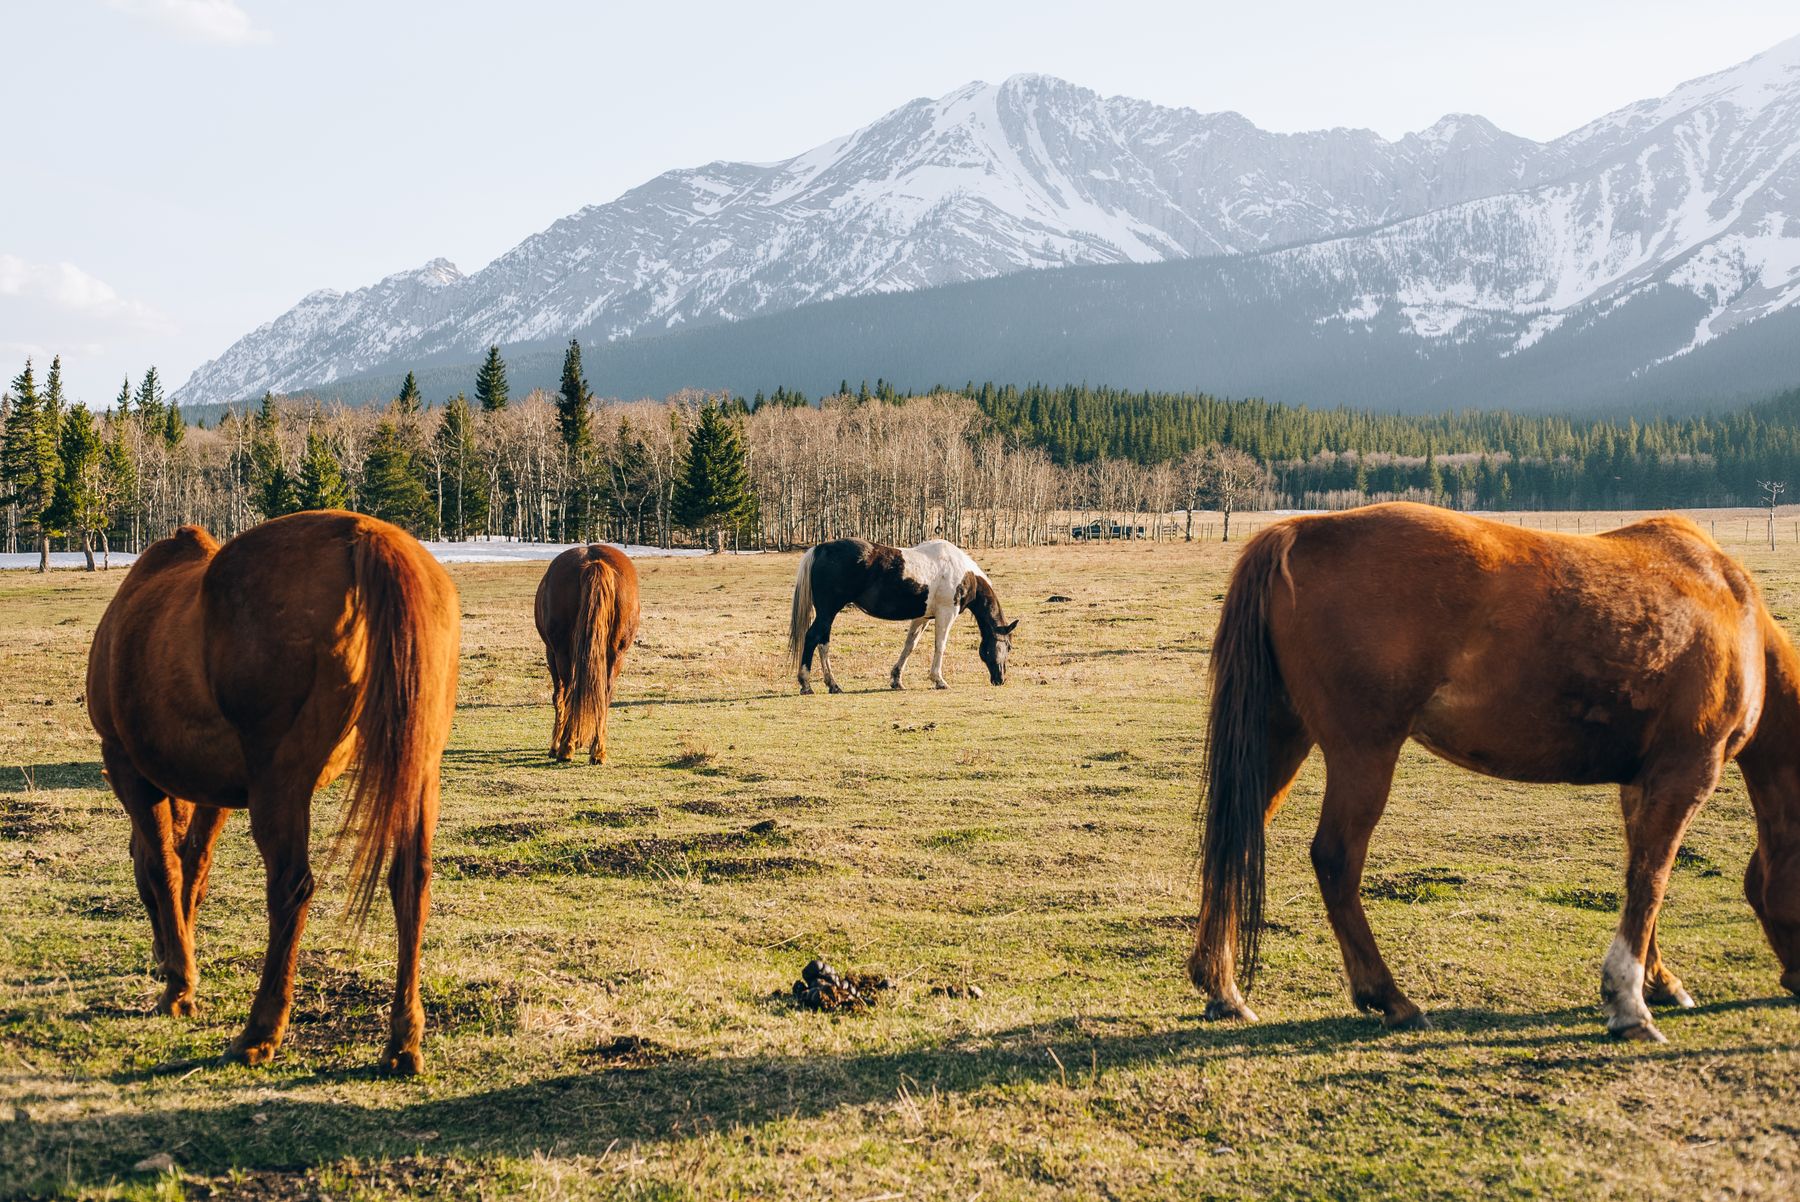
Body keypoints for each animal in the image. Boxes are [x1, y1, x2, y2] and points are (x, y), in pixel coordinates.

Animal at [85, 510, 460, 1074]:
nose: (158, 958)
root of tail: (366, 537)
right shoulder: (213, 791)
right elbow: (195, 868)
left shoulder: (129, 768)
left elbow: (164, 869)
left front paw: (178, 987)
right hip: (419, 770)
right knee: (410, 884)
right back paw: (402, 1042)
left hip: (280, 784)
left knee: (291, 888)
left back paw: (259, 1032)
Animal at [534, 543, 640, 764]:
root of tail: (593, 561)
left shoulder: (552, 653)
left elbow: (558, 697)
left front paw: (556, 745)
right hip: (616, 655)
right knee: (604, 694)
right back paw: (597, 750)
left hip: (562, 653)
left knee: (568, 693)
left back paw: (565, 748)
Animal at [788, 538, 1018, 693]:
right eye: (1008, 646)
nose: (1001, 679)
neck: (964, 574)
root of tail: (820, 548)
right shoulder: (946, 614)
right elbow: (940, 646)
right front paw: (938, 680)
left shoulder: (922, 617)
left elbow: (909, 646)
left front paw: (896, 680)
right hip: (828, 611)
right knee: (814, 638)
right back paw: (809, 684)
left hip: (827, 614)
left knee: (822, 642)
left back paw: (831, 684)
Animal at [1189, 501, 1800, 1043]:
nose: (1793, 983)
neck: (1733, 608)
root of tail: (1298, 532)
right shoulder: (1686, 772)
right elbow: (1652, 879)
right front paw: (1629, 1003)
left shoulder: (1641, 783)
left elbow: (1640, 873)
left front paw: (1659, 981)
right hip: (1363, 751)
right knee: (1335, 859)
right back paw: (1389, 998)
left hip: (1283, 735)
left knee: (1236, 836)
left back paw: (1222, 987)